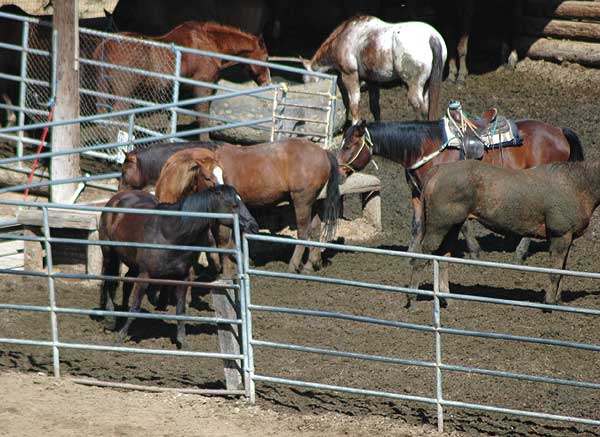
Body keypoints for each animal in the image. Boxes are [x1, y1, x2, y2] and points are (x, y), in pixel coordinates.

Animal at [92, 20, 270, 138]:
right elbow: (203, 119)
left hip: (104, 91)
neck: (210, 44)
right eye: (266, 58)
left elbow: (173, 118)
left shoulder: (179, 90)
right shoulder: (202, 87)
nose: (267, 82)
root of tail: (105, 46)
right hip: (123, 95)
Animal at [302, 15, 448, 122]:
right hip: (427, 85)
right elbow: (375, 107)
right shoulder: (372, 81)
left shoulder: (349, 76)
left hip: (414, 86)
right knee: (426, 107)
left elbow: (354, 104)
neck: (344, 35)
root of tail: (432, 37)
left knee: (418, 107)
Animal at [340, 104, 584, 260]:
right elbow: (416, 225)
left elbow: (463, 224)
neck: (427, 147)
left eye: (349, 145)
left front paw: (474, 252)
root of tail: (559, 132)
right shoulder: (417, 194)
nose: (339, 170)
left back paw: (520, 253)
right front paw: (411, 253)